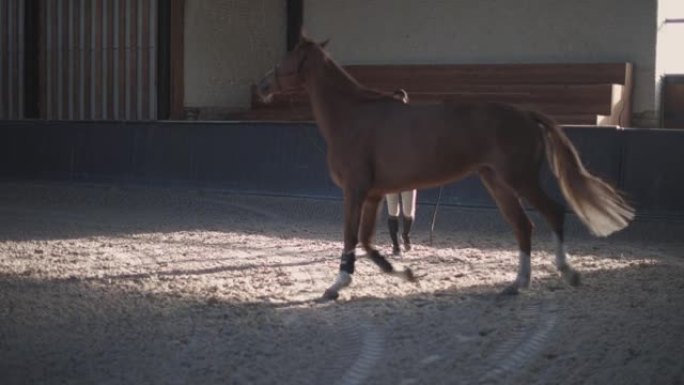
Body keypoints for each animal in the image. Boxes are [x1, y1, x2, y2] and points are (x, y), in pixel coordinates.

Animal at [256, 36, 636, 300]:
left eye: (285, 58)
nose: (259, 86)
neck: (353, 115)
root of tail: (526, 114)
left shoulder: (356, 191)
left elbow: (351, 237)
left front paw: (337, 285)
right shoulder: (374, 195)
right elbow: (366, 240)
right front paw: (403, 272)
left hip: (520, 179)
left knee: (553, 213)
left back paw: (566, 272)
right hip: (496, 183)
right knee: (523, 226)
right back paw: (517, 284)